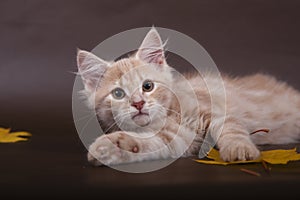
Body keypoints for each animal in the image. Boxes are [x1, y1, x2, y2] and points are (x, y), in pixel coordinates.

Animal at [76, 27, 300, 166]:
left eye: (147, 86)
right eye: (118, 94)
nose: (138, 103)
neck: (169, 116)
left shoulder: (217, 112)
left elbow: (232, 130)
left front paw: (239, 149)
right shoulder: (176, 139)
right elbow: (147, 144)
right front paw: (109, 148)